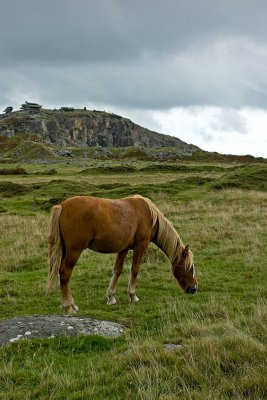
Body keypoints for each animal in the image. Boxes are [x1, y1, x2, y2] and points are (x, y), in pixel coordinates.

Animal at [47, 195, 198, 312]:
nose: (193, 289)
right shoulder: (140, 246)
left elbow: (117, 270)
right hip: (74, 250)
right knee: (65, 273)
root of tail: (62, 206)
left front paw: (111, 297)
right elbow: (135, 269)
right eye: (188, 267)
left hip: (66, 250)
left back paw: (72, 304)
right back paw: (68, 307)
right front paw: (133, 296)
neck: (149, 216)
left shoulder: (123, 249)